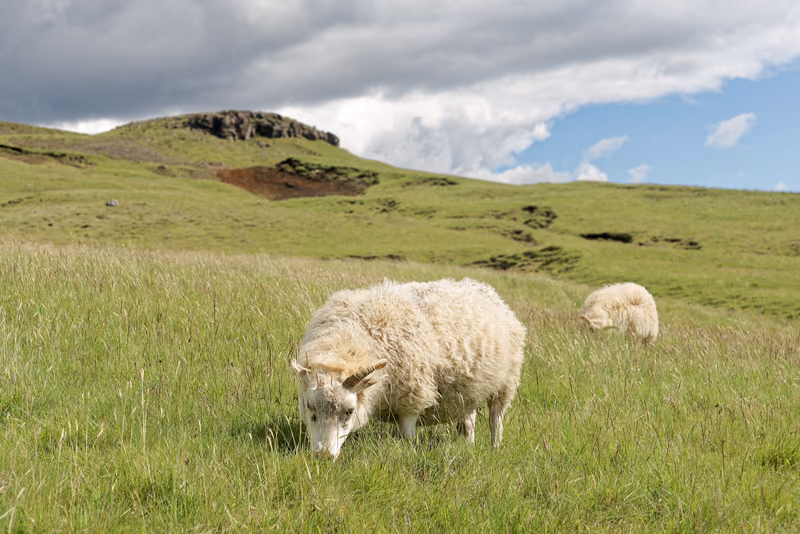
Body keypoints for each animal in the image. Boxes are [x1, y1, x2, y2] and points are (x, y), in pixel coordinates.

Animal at [290, 277, 526, 458]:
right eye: (309, 408)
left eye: (349, 411)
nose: (323, 456)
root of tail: (488, 291)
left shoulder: (412, 399)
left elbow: (408, 437)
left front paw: (409, 454)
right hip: (469, 391)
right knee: (469, 421)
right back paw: (469, 446)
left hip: (505, 384)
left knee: (496, 420)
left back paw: (495, 449)